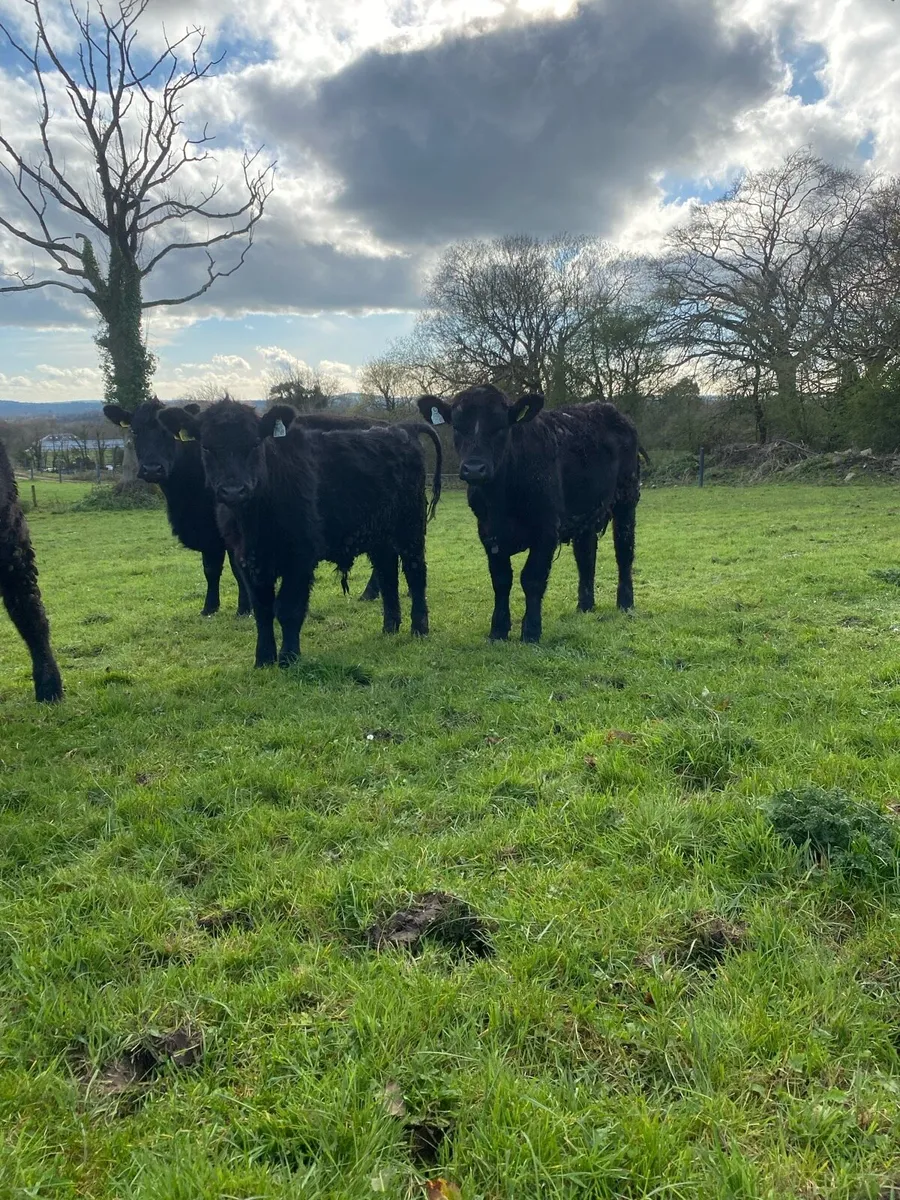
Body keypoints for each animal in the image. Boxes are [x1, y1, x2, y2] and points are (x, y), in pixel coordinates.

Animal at [104, 400, 384, 613]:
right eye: (135, 432)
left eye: (166, 434)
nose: (152, 469)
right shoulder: (210, 534)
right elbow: (210, 570)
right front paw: (210, 608)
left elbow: (236, 570)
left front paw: (244, 608)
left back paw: (369, 592)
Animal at [157, 398, 442, 668]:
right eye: (206, 447)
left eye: (254, 444)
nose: (233, 490)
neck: (255, 521)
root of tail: (403, 428)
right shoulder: (248, 560)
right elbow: (262, 610)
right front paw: (263, 659)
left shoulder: (300, 558)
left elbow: (288, 609)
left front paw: (288, 657)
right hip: (380, 536)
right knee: (388, 575)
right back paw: (389, 627)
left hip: (410, 526)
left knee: (415, 573)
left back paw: (419, 628)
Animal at [417, 385, 642, 643]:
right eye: (457, 426)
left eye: (501, 426)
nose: (474, 468)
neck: (502, 499)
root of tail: (611, 411)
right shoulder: (488, 531)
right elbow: (501, 579)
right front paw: (498, 630)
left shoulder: (547, 529)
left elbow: (532, 578)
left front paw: (531, 631)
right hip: (585, 512)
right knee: (586, 555)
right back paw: (585, 606)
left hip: (627, 497)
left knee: (624, 551)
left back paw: (625, 603)